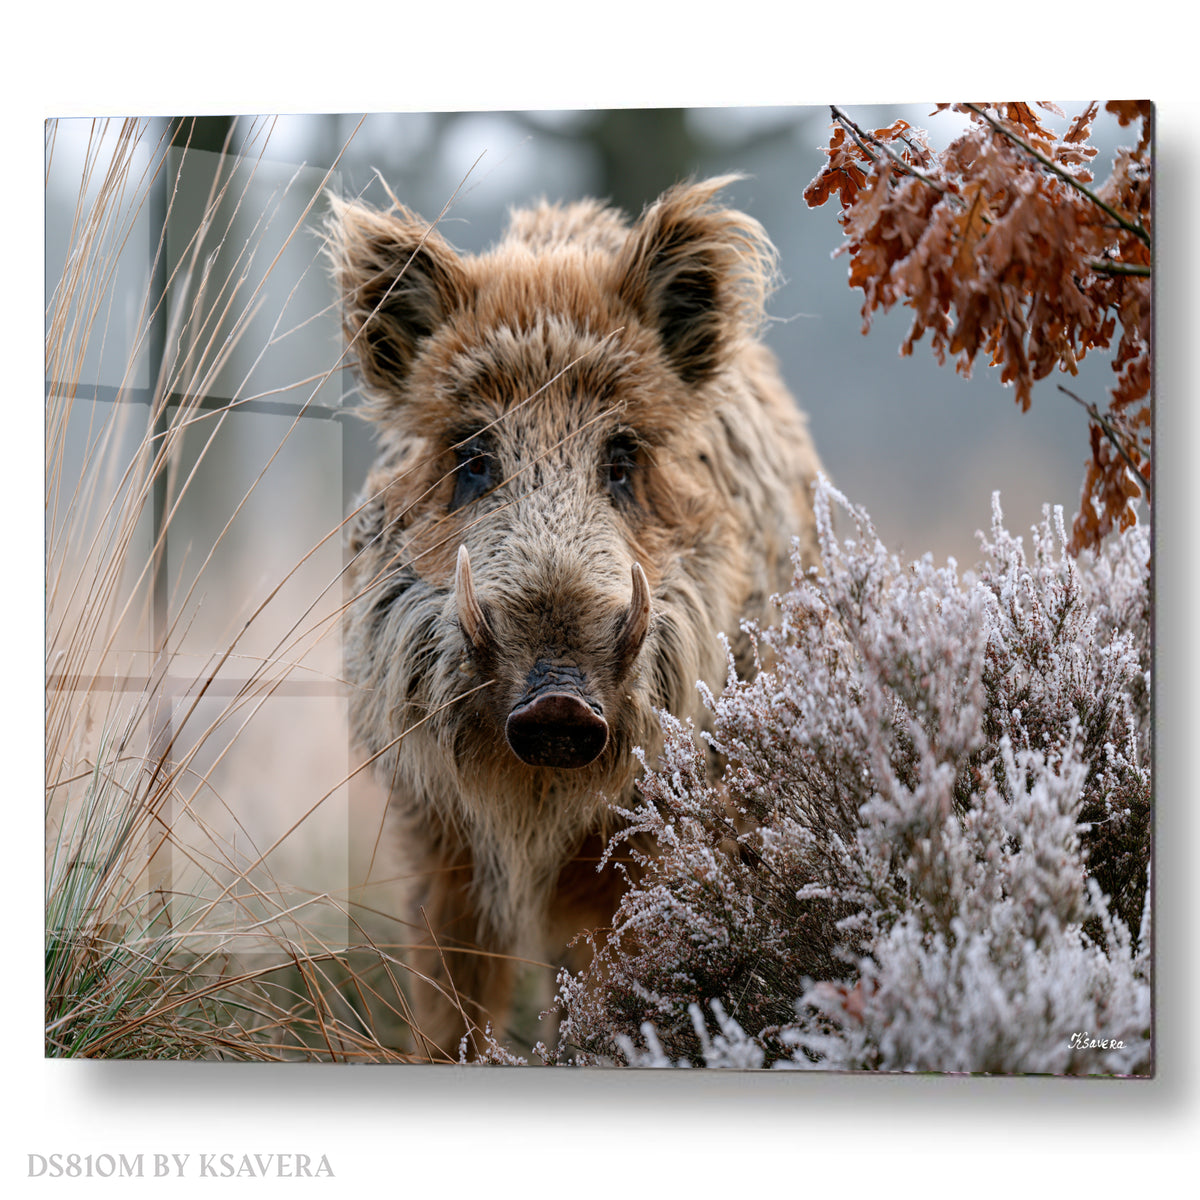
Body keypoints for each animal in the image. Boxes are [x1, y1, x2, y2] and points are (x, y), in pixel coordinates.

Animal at [327, 176, 823, 1059]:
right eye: (473, 456)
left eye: (622, 456)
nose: (558, 700)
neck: (537, 807)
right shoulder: (434, 831)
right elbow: (451, 992)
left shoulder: (656, 834)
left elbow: (618, 980)